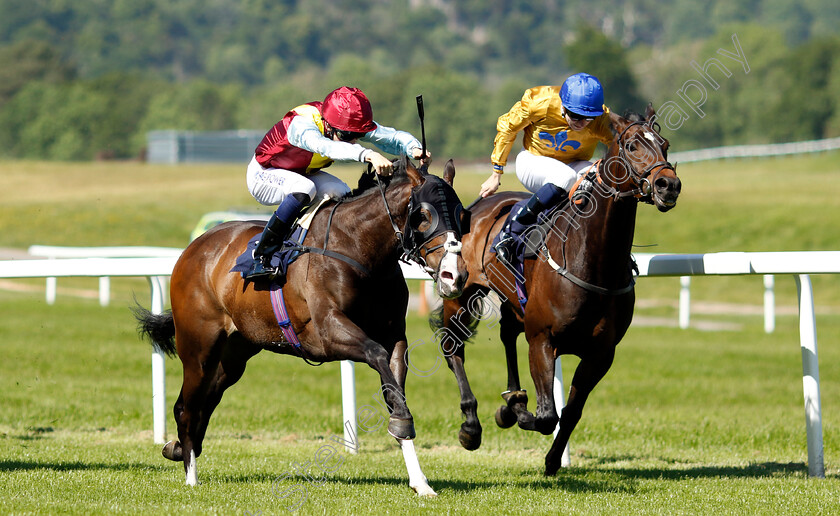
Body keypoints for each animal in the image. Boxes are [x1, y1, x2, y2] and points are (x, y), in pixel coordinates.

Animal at [135, 158, 470, 496]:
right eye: (423, 216)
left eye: (462, 215)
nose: (454, 276)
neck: (358, 248)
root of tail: (193, 248)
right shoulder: (328, 332)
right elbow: (375, 354)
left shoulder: (394, 336)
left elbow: (393, 391)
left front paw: (420, 481)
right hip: (199, 346)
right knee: (186, 406)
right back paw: (191, 475)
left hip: (234, 354)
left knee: (205, 401)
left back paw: (177, 448)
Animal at [430, 105, 680, 476]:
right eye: (633, 144)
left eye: (665, 144)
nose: (669, 185)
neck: (593, 261)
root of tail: (475, 207)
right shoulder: (543, 339)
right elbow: (547, 415)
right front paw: (513, 412)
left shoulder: (601, 353)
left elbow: (570, 412)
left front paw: (550, 458)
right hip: (460, 292)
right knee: (453, 347)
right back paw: (471, 426)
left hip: (514, 303)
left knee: (506, 333)